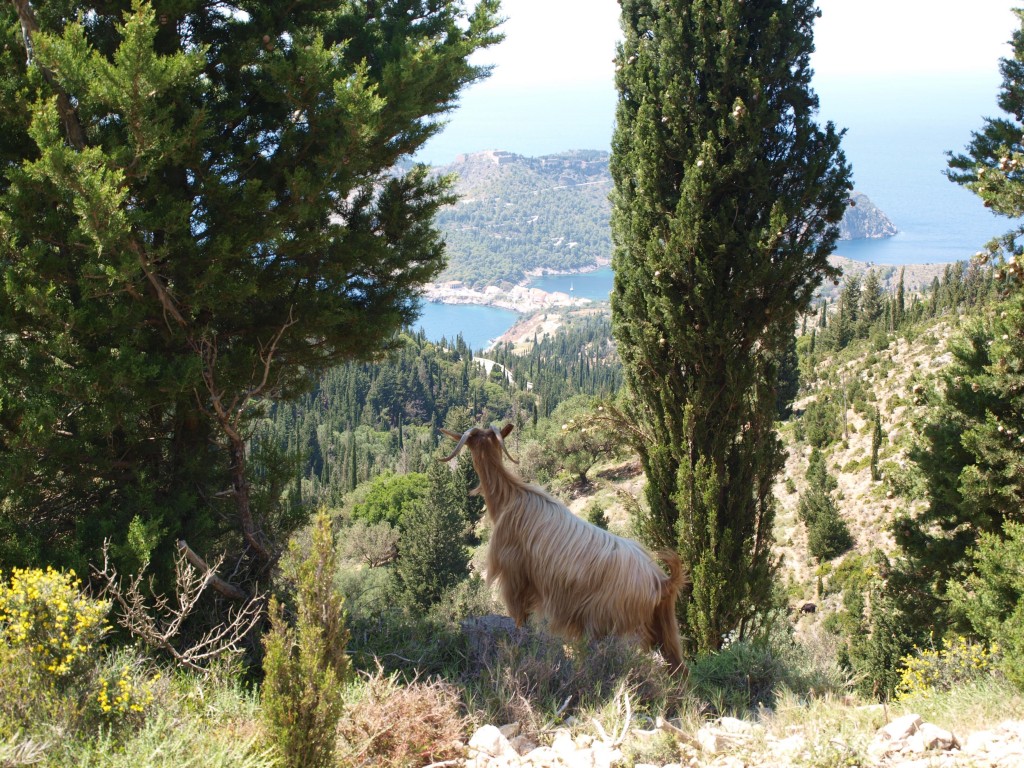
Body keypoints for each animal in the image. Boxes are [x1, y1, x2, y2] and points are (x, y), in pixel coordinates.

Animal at [442, 421, 688, 671]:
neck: (510, 498)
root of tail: (661, 582)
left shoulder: (515, 579)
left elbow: (521, 621)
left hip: (625, 632)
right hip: (666, 630)